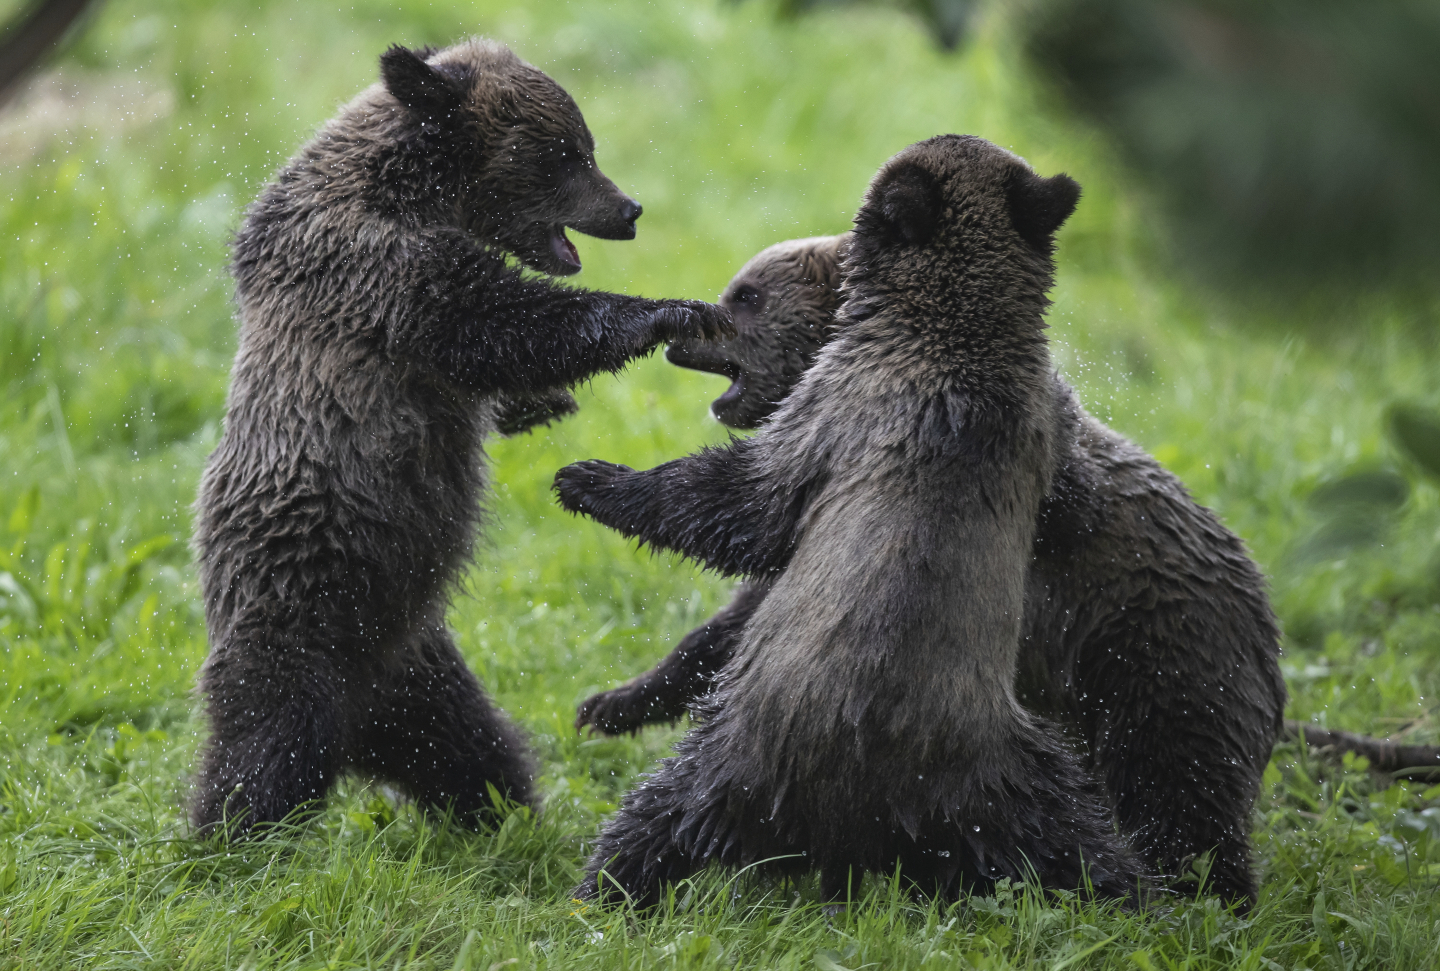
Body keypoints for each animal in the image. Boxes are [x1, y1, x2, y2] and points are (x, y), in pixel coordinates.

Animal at [189, 37, 731, 836]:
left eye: (585, 145)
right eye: (565, 153)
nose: (629, 209)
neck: (410, 191)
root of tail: (356, 711)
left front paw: (541, 404)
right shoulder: (383, 275)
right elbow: (503, 323)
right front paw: (668, 310)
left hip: (415, 656)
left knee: (466, 744)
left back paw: (504, 812)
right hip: (304, 602)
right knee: (264, 738)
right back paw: (230, 834)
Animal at [554, 135, 1147, 907]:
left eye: (744, 295)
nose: (686, 334)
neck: (949, 335)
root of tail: (870, 817)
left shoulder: (838, 408)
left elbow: (742, 505)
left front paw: (585, 478)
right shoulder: (1043, 435)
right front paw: (613, 701)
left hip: (749, 748)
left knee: (658, 810)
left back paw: (598, 887)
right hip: (1009, 773)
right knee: (1075, 834)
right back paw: (1139, 889)